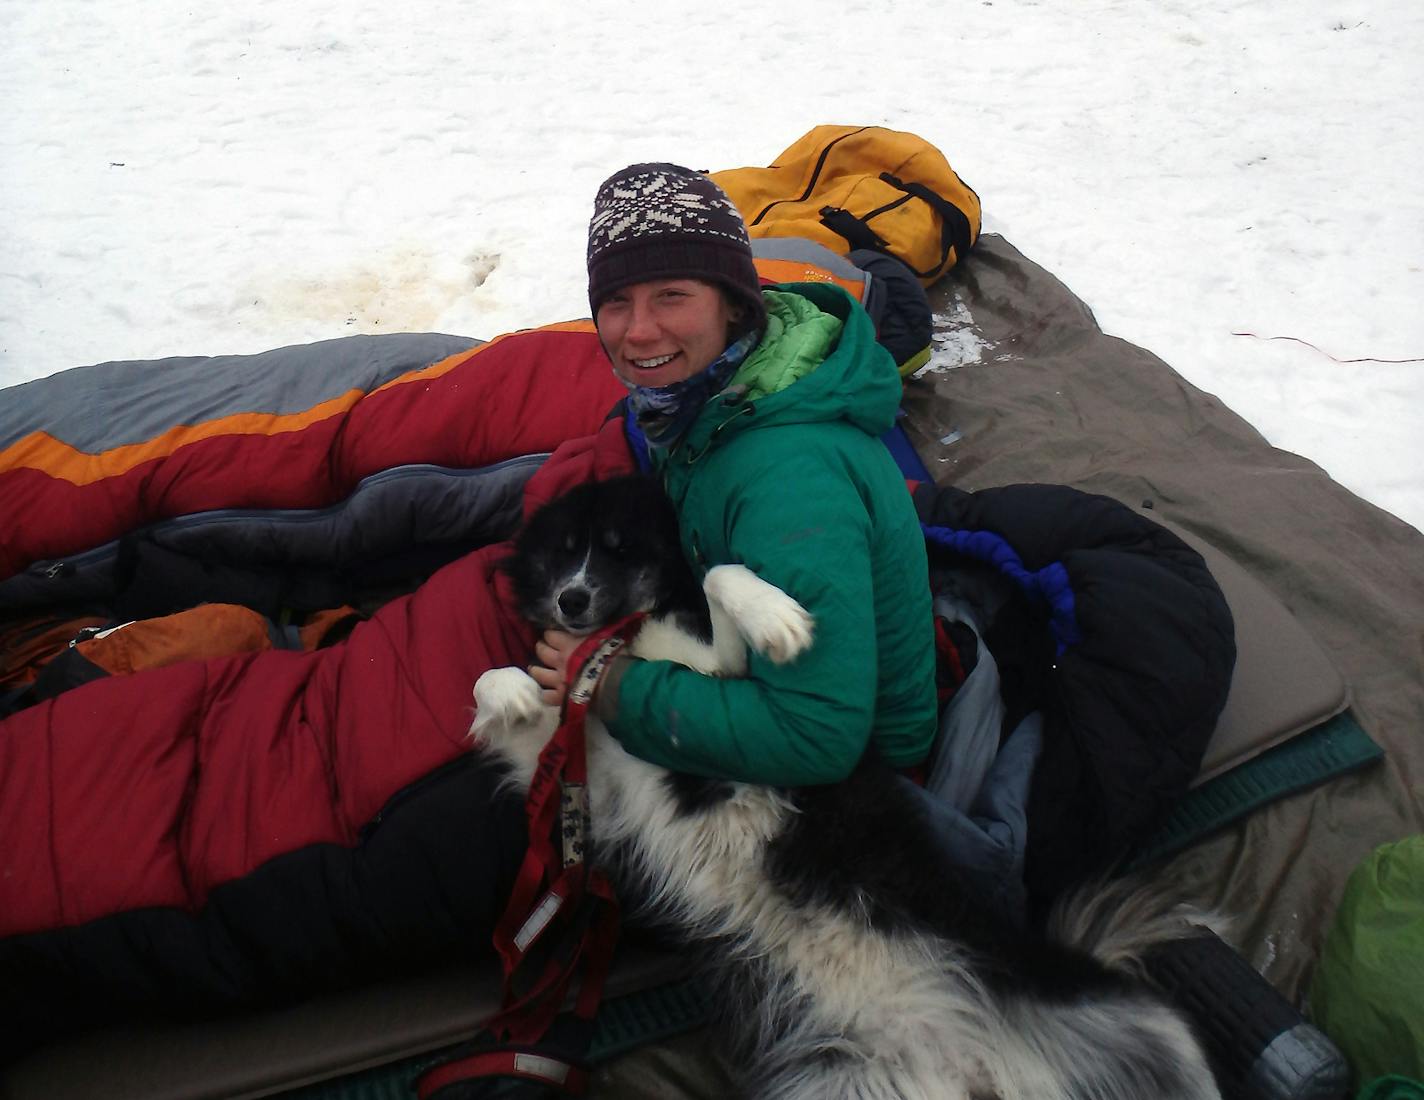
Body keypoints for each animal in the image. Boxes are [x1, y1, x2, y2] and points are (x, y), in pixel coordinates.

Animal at [472, 478, 1218, 1100]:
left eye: (619, 550)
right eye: (559, 556)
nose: (572, 600)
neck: (623, 642)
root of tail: (980, 1069)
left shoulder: (719, 688)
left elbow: (717, 575)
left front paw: (777, 618)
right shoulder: (596, 786)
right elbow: (502, 701)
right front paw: (509, 693)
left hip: (1144, 1026)